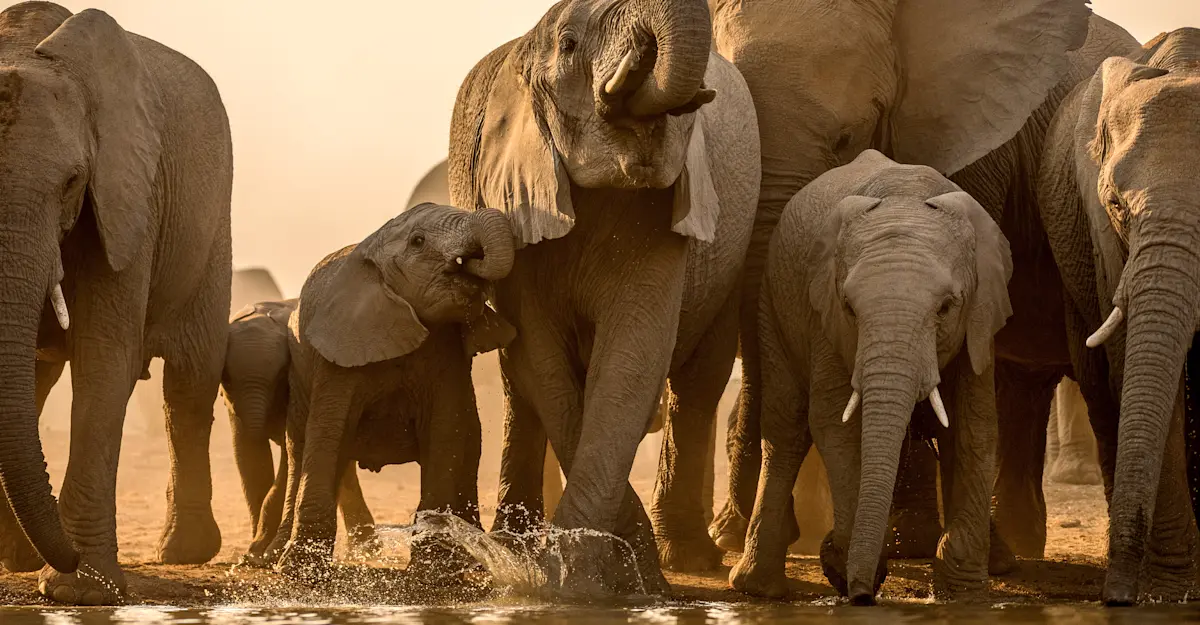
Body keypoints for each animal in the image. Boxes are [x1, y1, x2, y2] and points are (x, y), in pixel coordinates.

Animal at [0, 2, 232, 605]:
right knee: (37, 384)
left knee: (188, 387)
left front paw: (82, 591)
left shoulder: (128, 196)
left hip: (211, 233)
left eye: (72, 182)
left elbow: (104, 360)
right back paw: (16, 558)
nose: (67, 553)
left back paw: (183, 553)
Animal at [221, 299, 379, 566]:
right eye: (228, 378)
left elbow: (288, 456)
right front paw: (254, 555)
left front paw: (260, 555)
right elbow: (249, 457)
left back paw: (366, 550)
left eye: (280, 375)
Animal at [271, 203, 517, 579]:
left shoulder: (447, 352)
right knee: (300, 447)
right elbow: (327, 434)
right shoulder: (338, 354)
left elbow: (446, 433)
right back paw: (270, 558)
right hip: (299, 376)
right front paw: (299, 572)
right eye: (418, 241)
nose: (471, 263)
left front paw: (436, 570)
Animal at [448, 0, 760, 593]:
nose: (642, 48)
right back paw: (513, 542)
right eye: (569, 44)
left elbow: (632, 357)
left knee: (696, 384)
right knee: (519, 387)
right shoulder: (515, 199)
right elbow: (540, 354)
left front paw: (596, 577)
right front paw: (579, 576)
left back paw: (683, 557)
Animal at [731, 150, 1012, 602]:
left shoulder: (979, 319)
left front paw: (962, 592)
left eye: (946, 307)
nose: (863, 595)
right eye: (849, 307)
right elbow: (834, 422)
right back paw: (759, 588)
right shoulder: (824, 315)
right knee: (786, 427)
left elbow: (975, 424)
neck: (906, 196)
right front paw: (844, 566)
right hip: (772, 303)